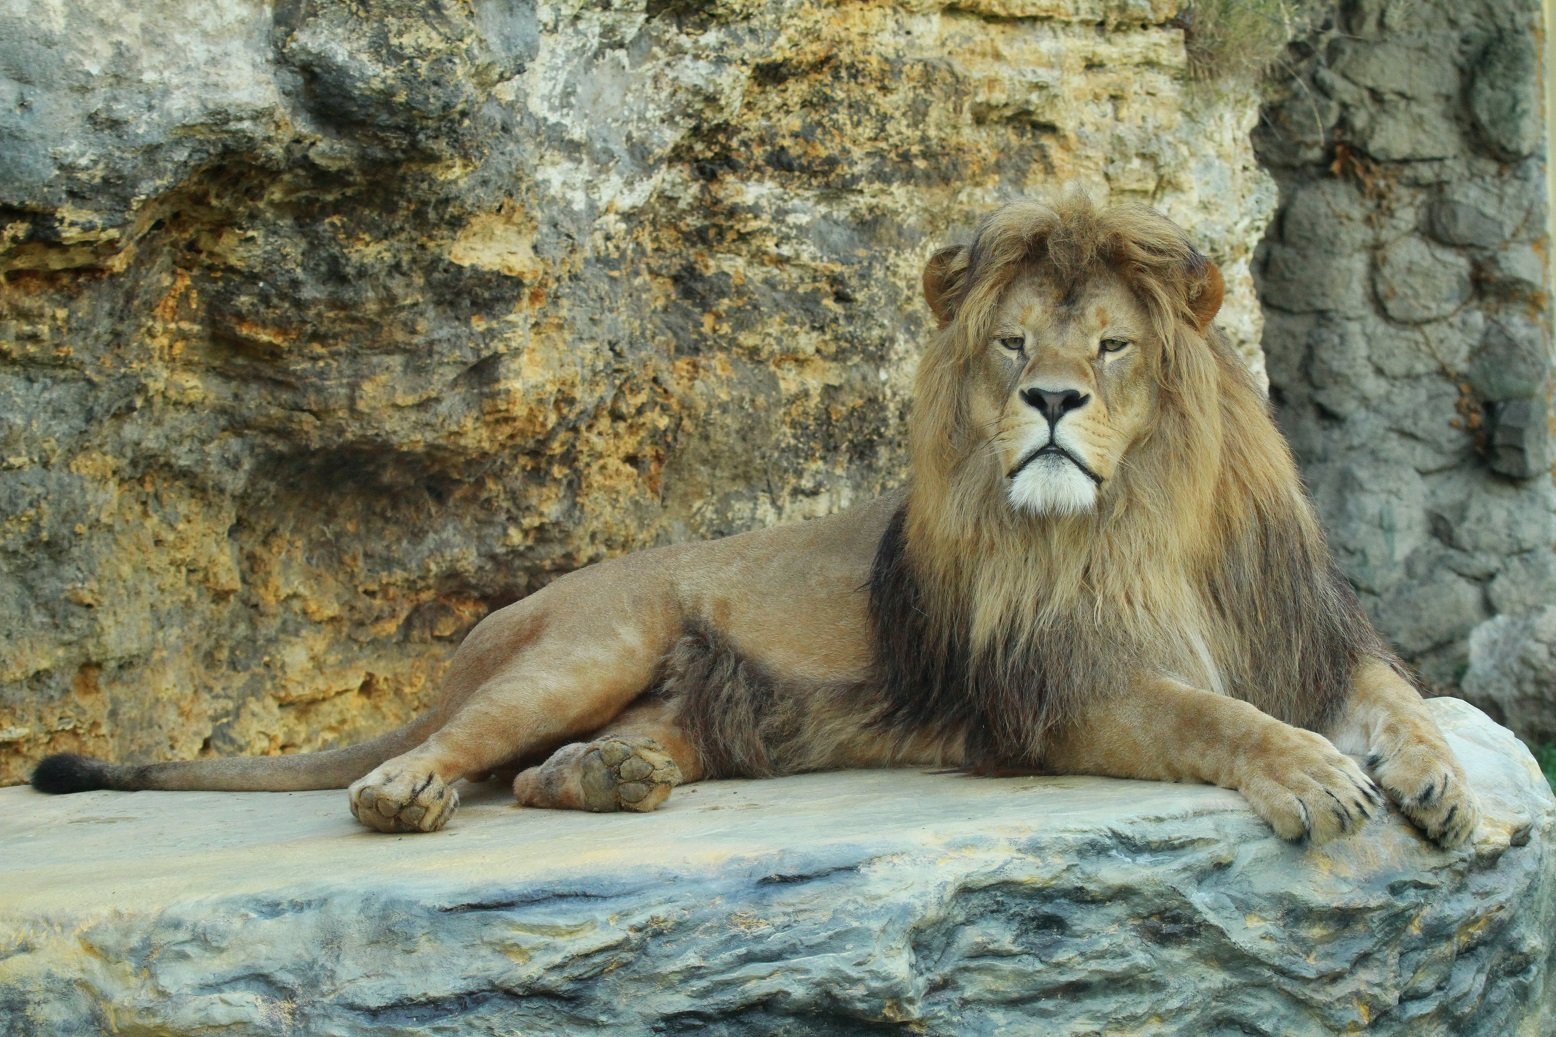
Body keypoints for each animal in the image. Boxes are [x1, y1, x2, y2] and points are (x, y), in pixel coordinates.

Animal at [30, 196, 1475, 847]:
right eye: (1013, 343)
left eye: (1110, 345)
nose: (1053, 401)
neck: (1135, 521)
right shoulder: (1054, 688)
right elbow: (1209, 715)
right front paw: (1311, 775)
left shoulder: (1311, 639)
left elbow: (1402, 703)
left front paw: (1440, 784)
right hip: (594, 639)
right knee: (458, 750)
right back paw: (409, 790)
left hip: (707, 700)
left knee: (555, 766)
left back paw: (607, 776)